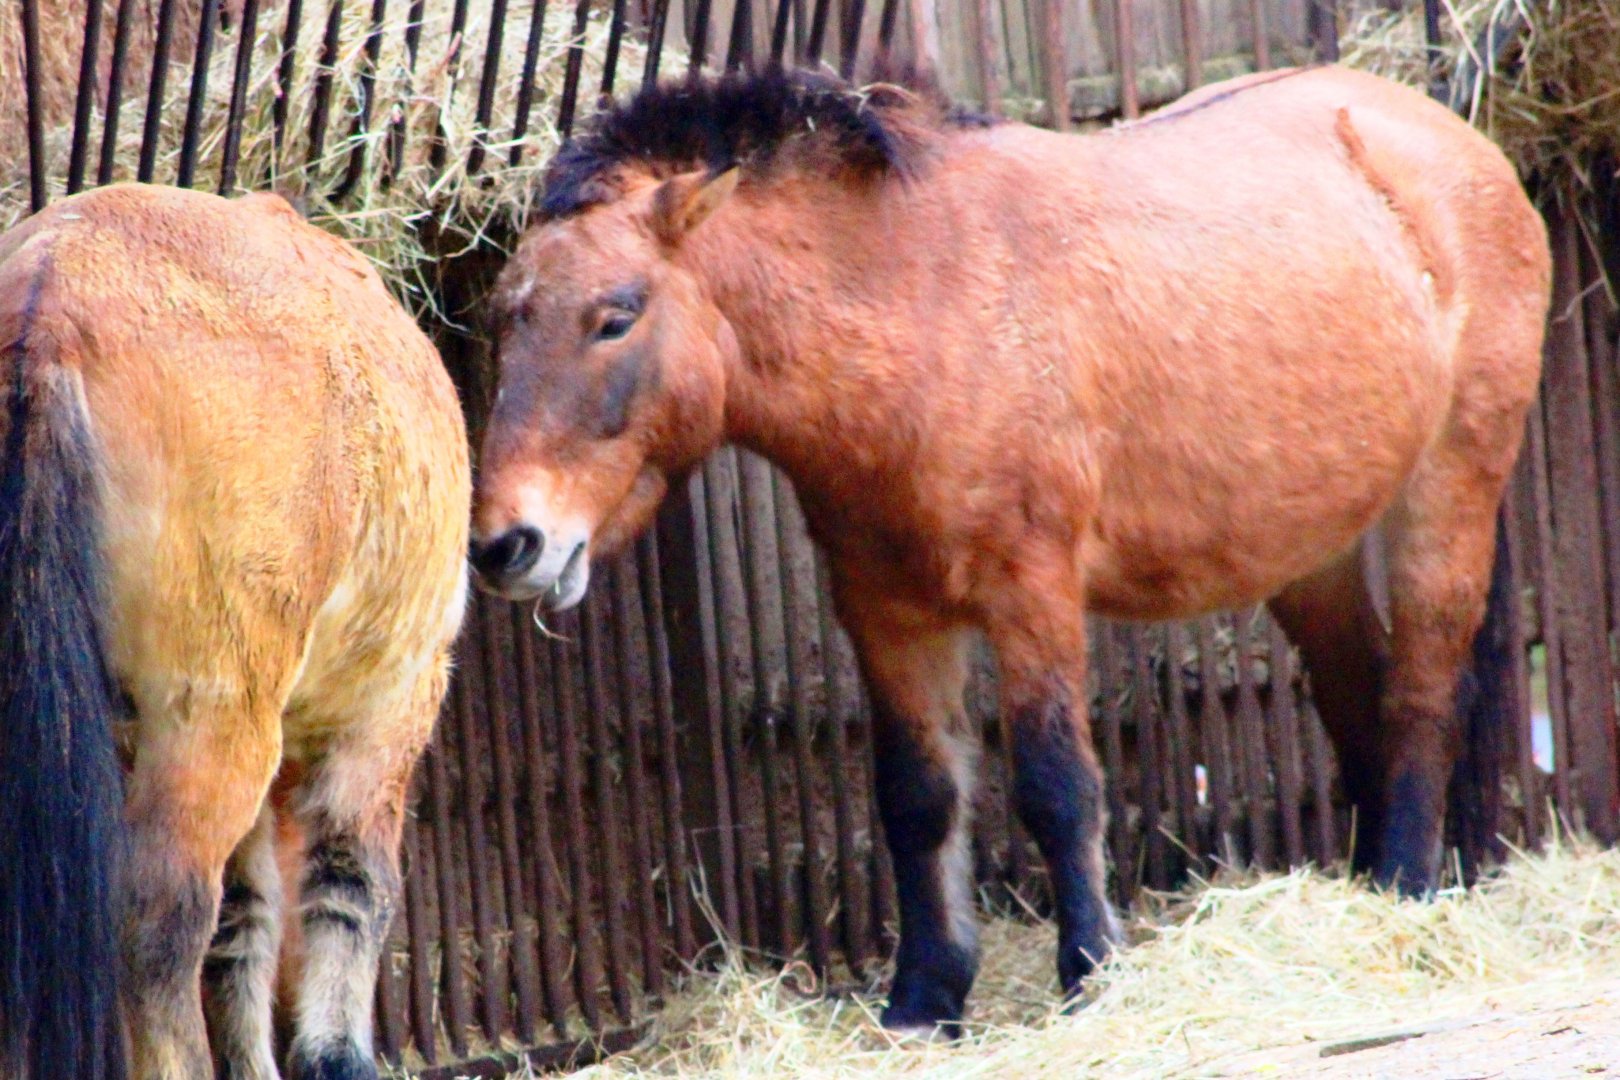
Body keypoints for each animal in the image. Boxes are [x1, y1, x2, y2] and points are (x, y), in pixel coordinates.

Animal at [0, 183, 470, 1079]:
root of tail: (54, 295)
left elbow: (243, 927)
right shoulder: (384, 719)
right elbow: (350, 889)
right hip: (213, 720)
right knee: (158, 921)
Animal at [468, 66, 1550, 1034]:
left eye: (615, 315)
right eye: (504, 323)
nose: (507, 545)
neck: (922, 302)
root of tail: (1455, 143)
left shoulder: (1032, 591)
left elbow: (1056, 786)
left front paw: (1091, 972)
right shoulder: (888, 612)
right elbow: (917, 797)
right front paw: (924, 998)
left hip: (1448, 489)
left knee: (1421, 690)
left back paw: (1406, 888)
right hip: (1308, 550)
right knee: (1358, 697)